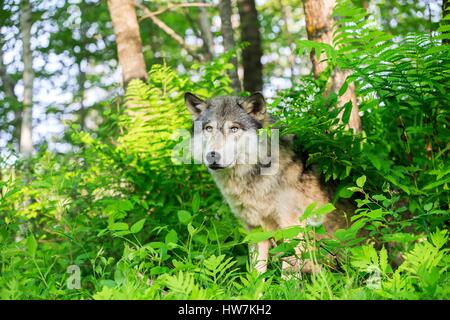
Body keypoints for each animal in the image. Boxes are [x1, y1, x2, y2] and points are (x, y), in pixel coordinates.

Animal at [183, 90, 348, 276]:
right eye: (208, 129)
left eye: (234, 129)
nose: (212, 156)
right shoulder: (255, 230)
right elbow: (256, 274)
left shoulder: (292, 227)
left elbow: (288, 273)